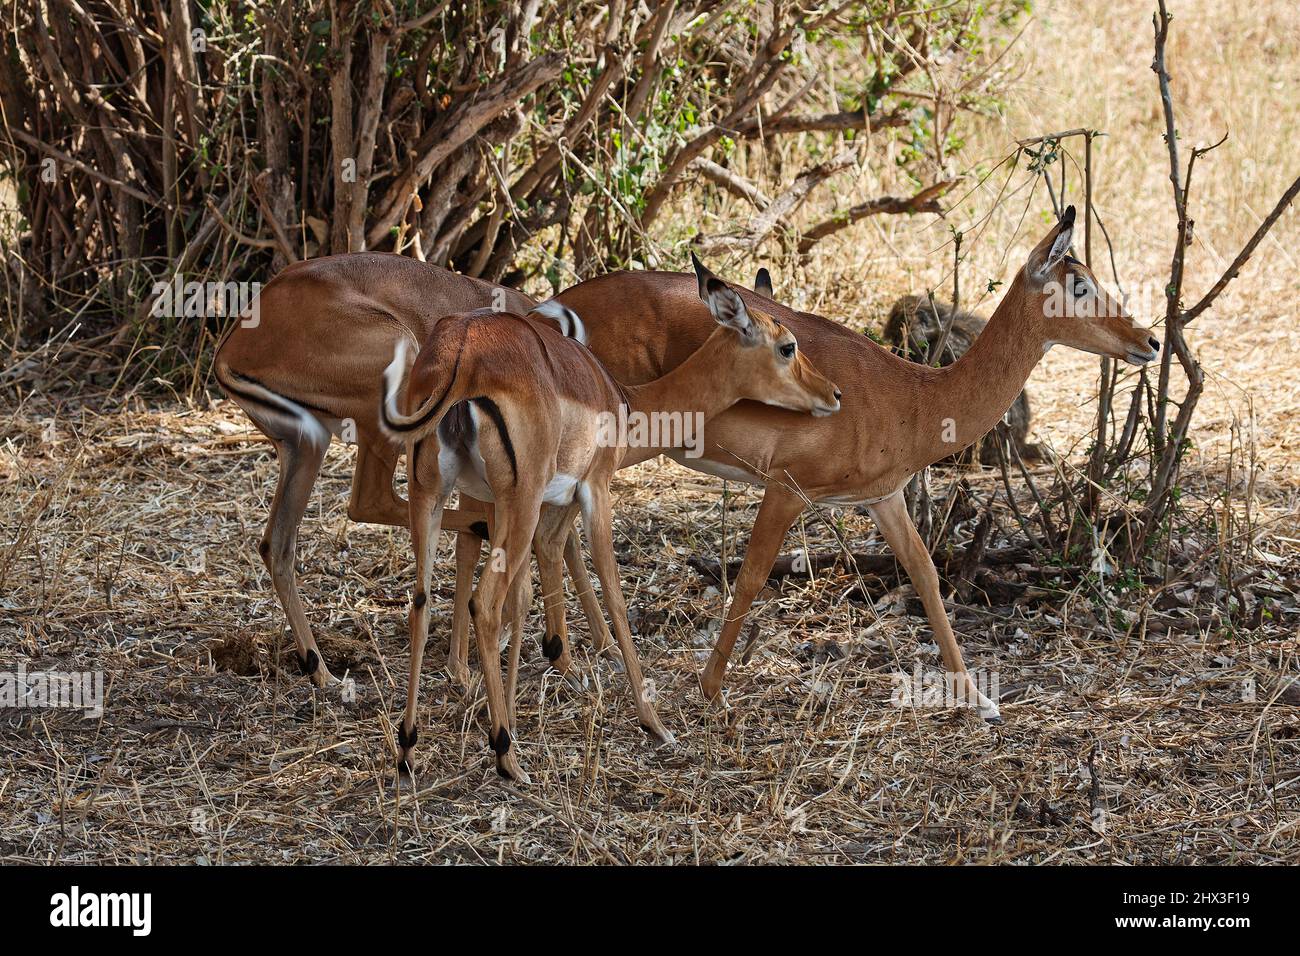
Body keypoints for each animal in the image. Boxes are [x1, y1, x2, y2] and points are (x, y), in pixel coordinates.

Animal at [377, 256, 842, 785]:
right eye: (788, 346)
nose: (833, 393)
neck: (623, 401)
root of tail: (462, 354)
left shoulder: (527, 505)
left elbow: (529, 590)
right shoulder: (594, 490)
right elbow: (615, 596)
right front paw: (655, 723)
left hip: (433, 496)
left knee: (421, 601)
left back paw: (408, 750)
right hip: (520, 499)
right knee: (485, 603)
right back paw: (507, 758)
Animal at [546, 209, 1159, 717]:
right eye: (1079, 284)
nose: (1149, 341)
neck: (915, 395)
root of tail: (557, 309)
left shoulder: (882, 497)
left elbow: (925, 572)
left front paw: (978, 700)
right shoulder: (788, 488)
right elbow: (750, 577)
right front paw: (711, 690)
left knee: (559, 535)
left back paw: (586, 653)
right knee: (555, 535)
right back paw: (575, 661)